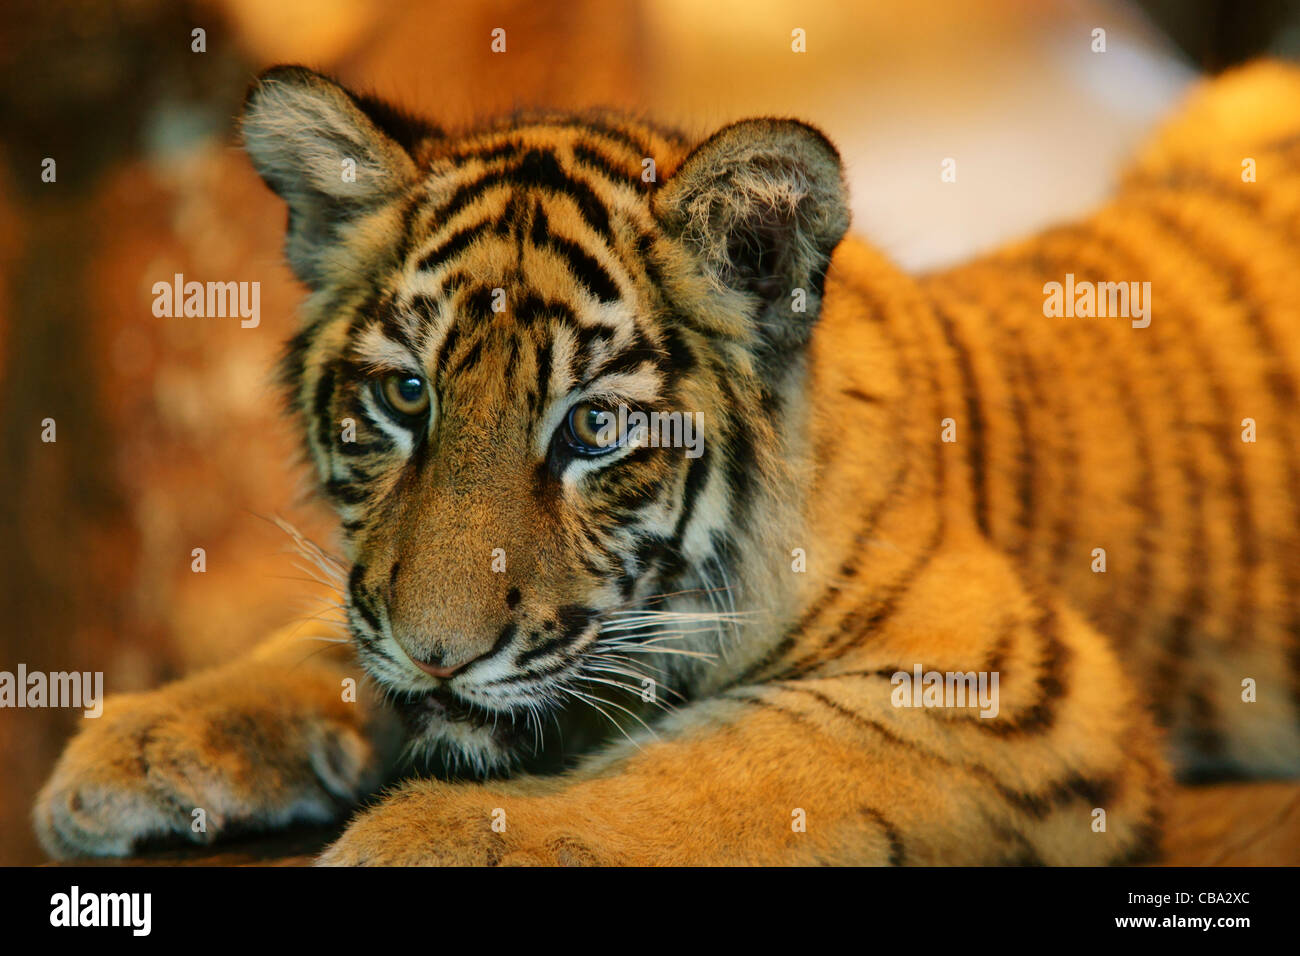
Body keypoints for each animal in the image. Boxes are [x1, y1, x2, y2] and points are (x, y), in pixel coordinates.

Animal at [33, 61, 1300, 865]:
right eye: (404, 395)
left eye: (592, 428)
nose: (442, 657)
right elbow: (325, 635)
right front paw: (137, 741)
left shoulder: (1015, 690)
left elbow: (729, 763)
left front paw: (433, 834)